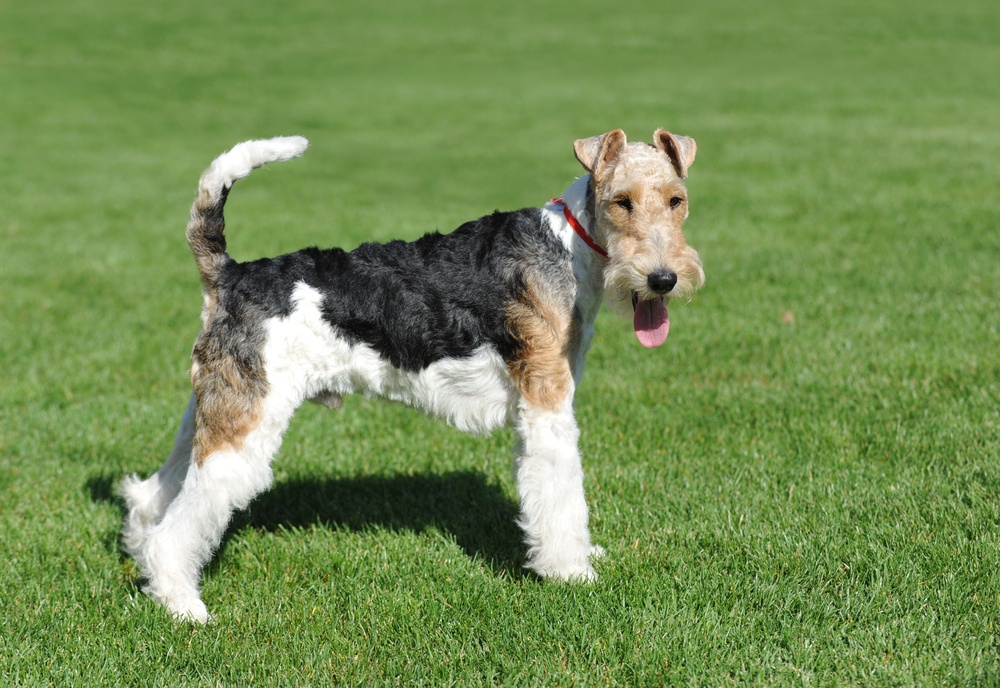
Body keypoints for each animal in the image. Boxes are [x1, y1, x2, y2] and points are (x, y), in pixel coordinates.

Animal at [119, 130, 704, 624]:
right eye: (622, 201)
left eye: (677, 199)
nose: (663, 279)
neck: (568, 247)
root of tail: (229, 273)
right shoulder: (547, 405)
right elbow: (561, 494)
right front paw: (572, 573)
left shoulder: (536, 405)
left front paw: (582, 555)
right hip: (244, 423)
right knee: (178, 528)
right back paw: (185, 607)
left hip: (213, 408)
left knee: (154, 495)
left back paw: (147, 567)